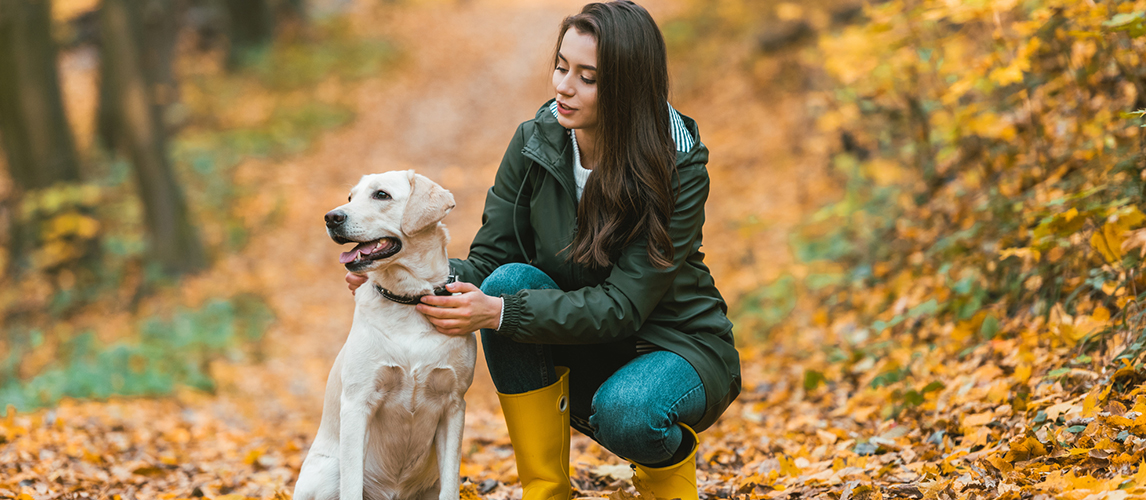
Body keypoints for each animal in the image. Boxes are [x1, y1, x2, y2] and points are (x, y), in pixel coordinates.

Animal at [295, 170, 479, 499]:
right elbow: (352, 485)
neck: (408, 299)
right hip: (328, 470)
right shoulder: (357, 403)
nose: (331, 217)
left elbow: (450, 485)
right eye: (350, 196)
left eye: (381, 195)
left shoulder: (455, 404)